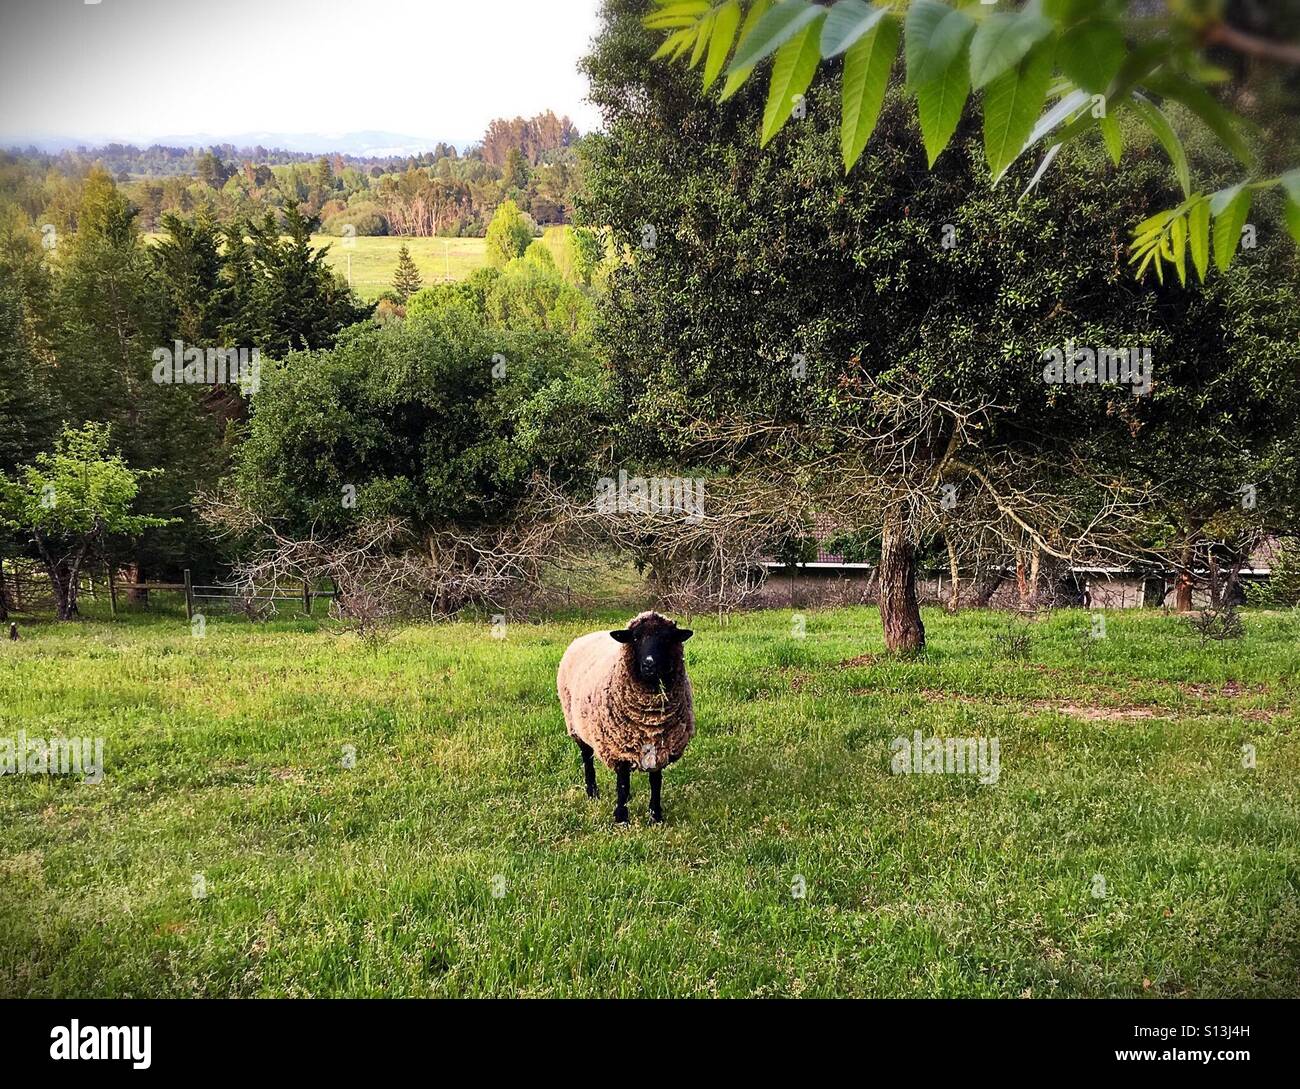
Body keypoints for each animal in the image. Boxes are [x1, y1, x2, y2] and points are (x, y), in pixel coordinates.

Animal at [561, 613, 696, 826]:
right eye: (635, 638)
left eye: (667, 638)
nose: (649, 664)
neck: (649, 719)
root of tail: (585, 636)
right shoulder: (619, 747)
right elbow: (622, 783)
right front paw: (622, 818)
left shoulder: (660, 746)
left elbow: (655, 781)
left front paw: (655, 816)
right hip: (576, 725)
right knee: (587, 758)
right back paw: (592, 792)